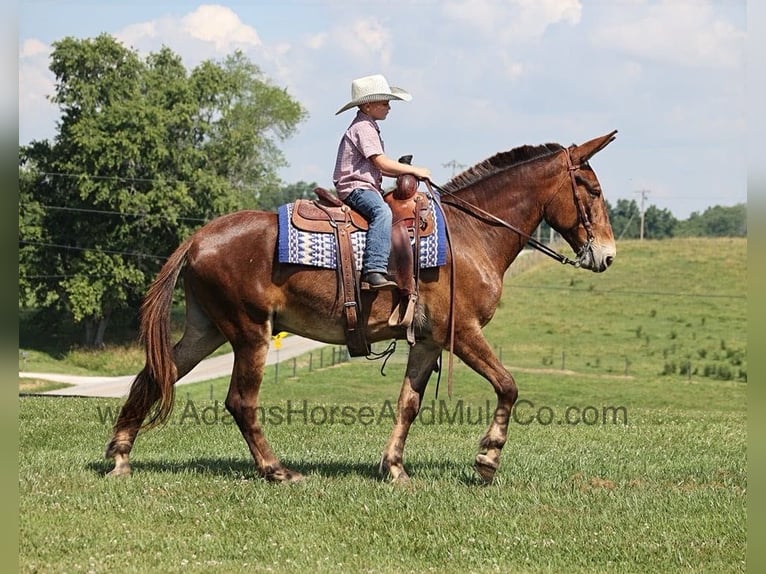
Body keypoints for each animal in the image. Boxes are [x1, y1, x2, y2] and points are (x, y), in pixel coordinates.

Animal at [105, 130, 618, 484]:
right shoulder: (464, 332)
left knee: (154, 376)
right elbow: (508, 386)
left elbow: (409, 403)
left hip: (205, 329)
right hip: (249, 333)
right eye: (592, 191)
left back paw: (120, 456)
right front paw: (487, 458)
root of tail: (198, 237)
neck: (470, 234)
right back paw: (276, 470)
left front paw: (394, 468)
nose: (608, 255)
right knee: (239, 402)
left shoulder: (427, 341)